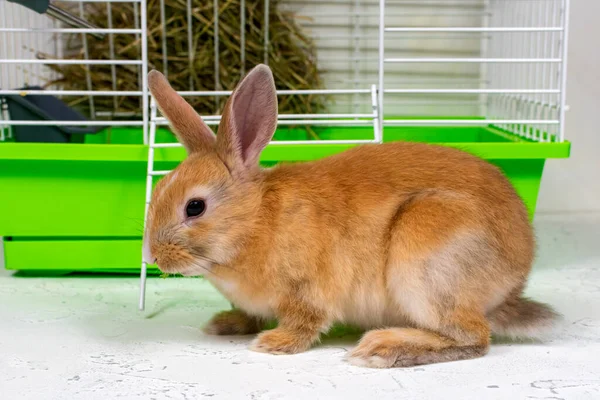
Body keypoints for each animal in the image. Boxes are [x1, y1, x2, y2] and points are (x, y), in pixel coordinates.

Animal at [143, 63, 560, 368]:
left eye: (194, 207)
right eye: (158, 189)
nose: (150, 257)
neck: (257, 220)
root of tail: (511, 285)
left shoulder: (308, 292)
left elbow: (304, 323)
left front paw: (273, 343)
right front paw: (225, 324)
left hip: (425, 265)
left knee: (474, 338)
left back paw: (382, 348)